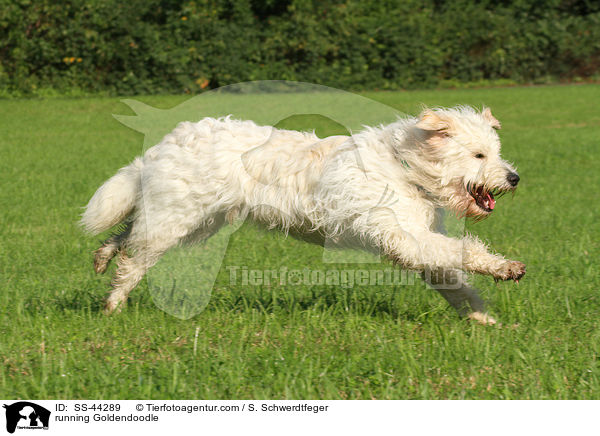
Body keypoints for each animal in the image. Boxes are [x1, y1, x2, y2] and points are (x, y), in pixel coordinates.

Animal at [81, 105, 524, 324]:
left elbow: (455, 283)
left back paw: (103, 256)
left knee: (128, 235)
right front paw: (506, 268)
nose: (514, 177)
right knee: (134, 260)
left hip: (191, 221)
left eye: (496, 152)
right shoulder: (407, 238)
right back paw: (113, 305)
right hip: (177, 219)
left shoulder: (418, 245)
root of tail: (169, 141)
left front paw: (483, 318)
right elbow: (466, 251)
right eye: (479, 155)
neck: (405, 167)